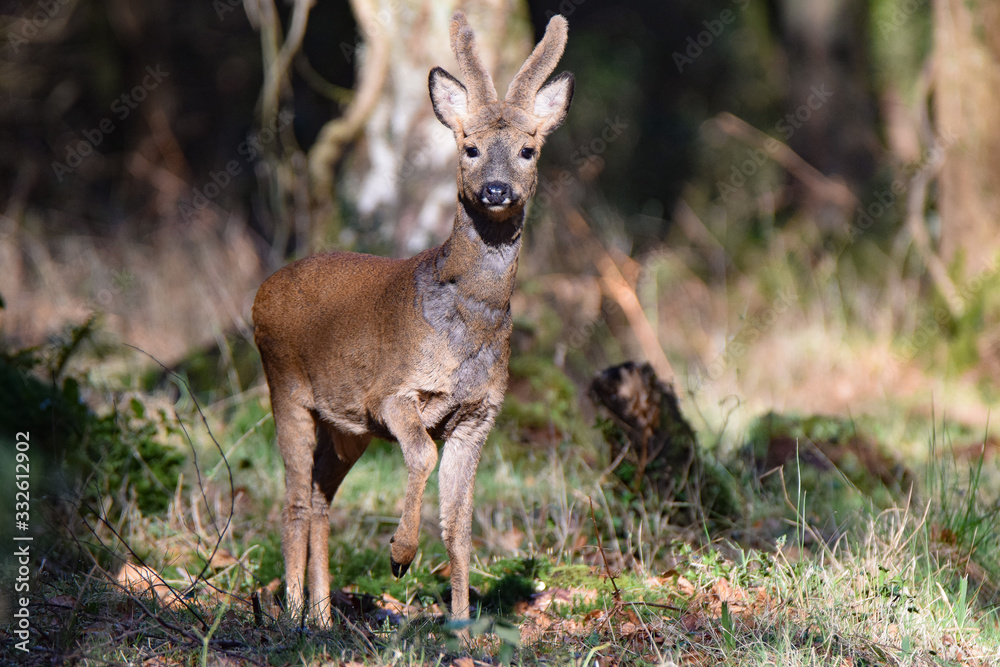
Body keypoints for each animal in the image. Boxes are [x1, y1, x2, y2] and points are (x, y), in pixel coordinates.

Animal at [252, 11, 573, 627]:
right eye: (469, 146)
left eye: (528, 148)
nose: (496, 190)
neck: (466, 329)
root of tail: (261, 292)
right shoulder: (391, 393)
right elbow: (422, 453)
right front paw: (400, 555)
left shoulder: (478, 414)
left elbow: (460, 525)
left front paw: (462, 626)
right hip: (286, 385)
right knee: (296, 497)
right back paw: (291, 613)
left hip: (345, 426)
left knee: (322, 495)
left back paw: (322, 619)